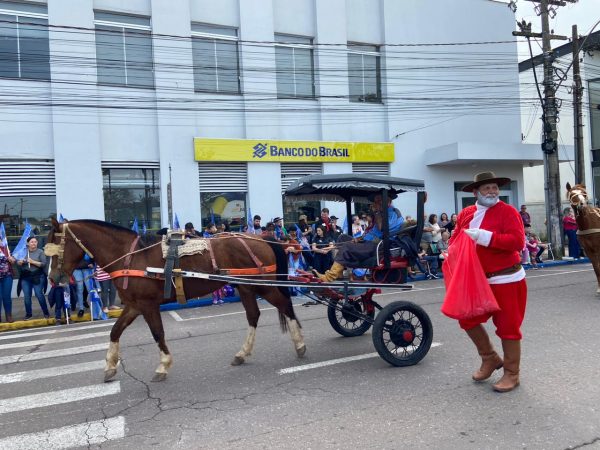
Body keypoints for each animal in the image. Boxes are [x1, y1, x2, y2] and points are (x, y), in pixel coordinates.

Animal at [43, 218, 304, 380]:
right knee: (253, 315)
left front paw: (163, 365)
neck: (130, 257)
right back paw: (242, 353)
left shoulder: (147, 305)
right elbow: (115, 331)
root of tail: (264, 238)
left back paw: (300, 344)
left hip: (262, 285)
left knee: (284, 305)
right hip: (246, 287)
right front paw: (109, 365)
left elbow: (158, 333)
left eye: (56, 247)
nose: (53, 278)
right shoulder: (134, 305)